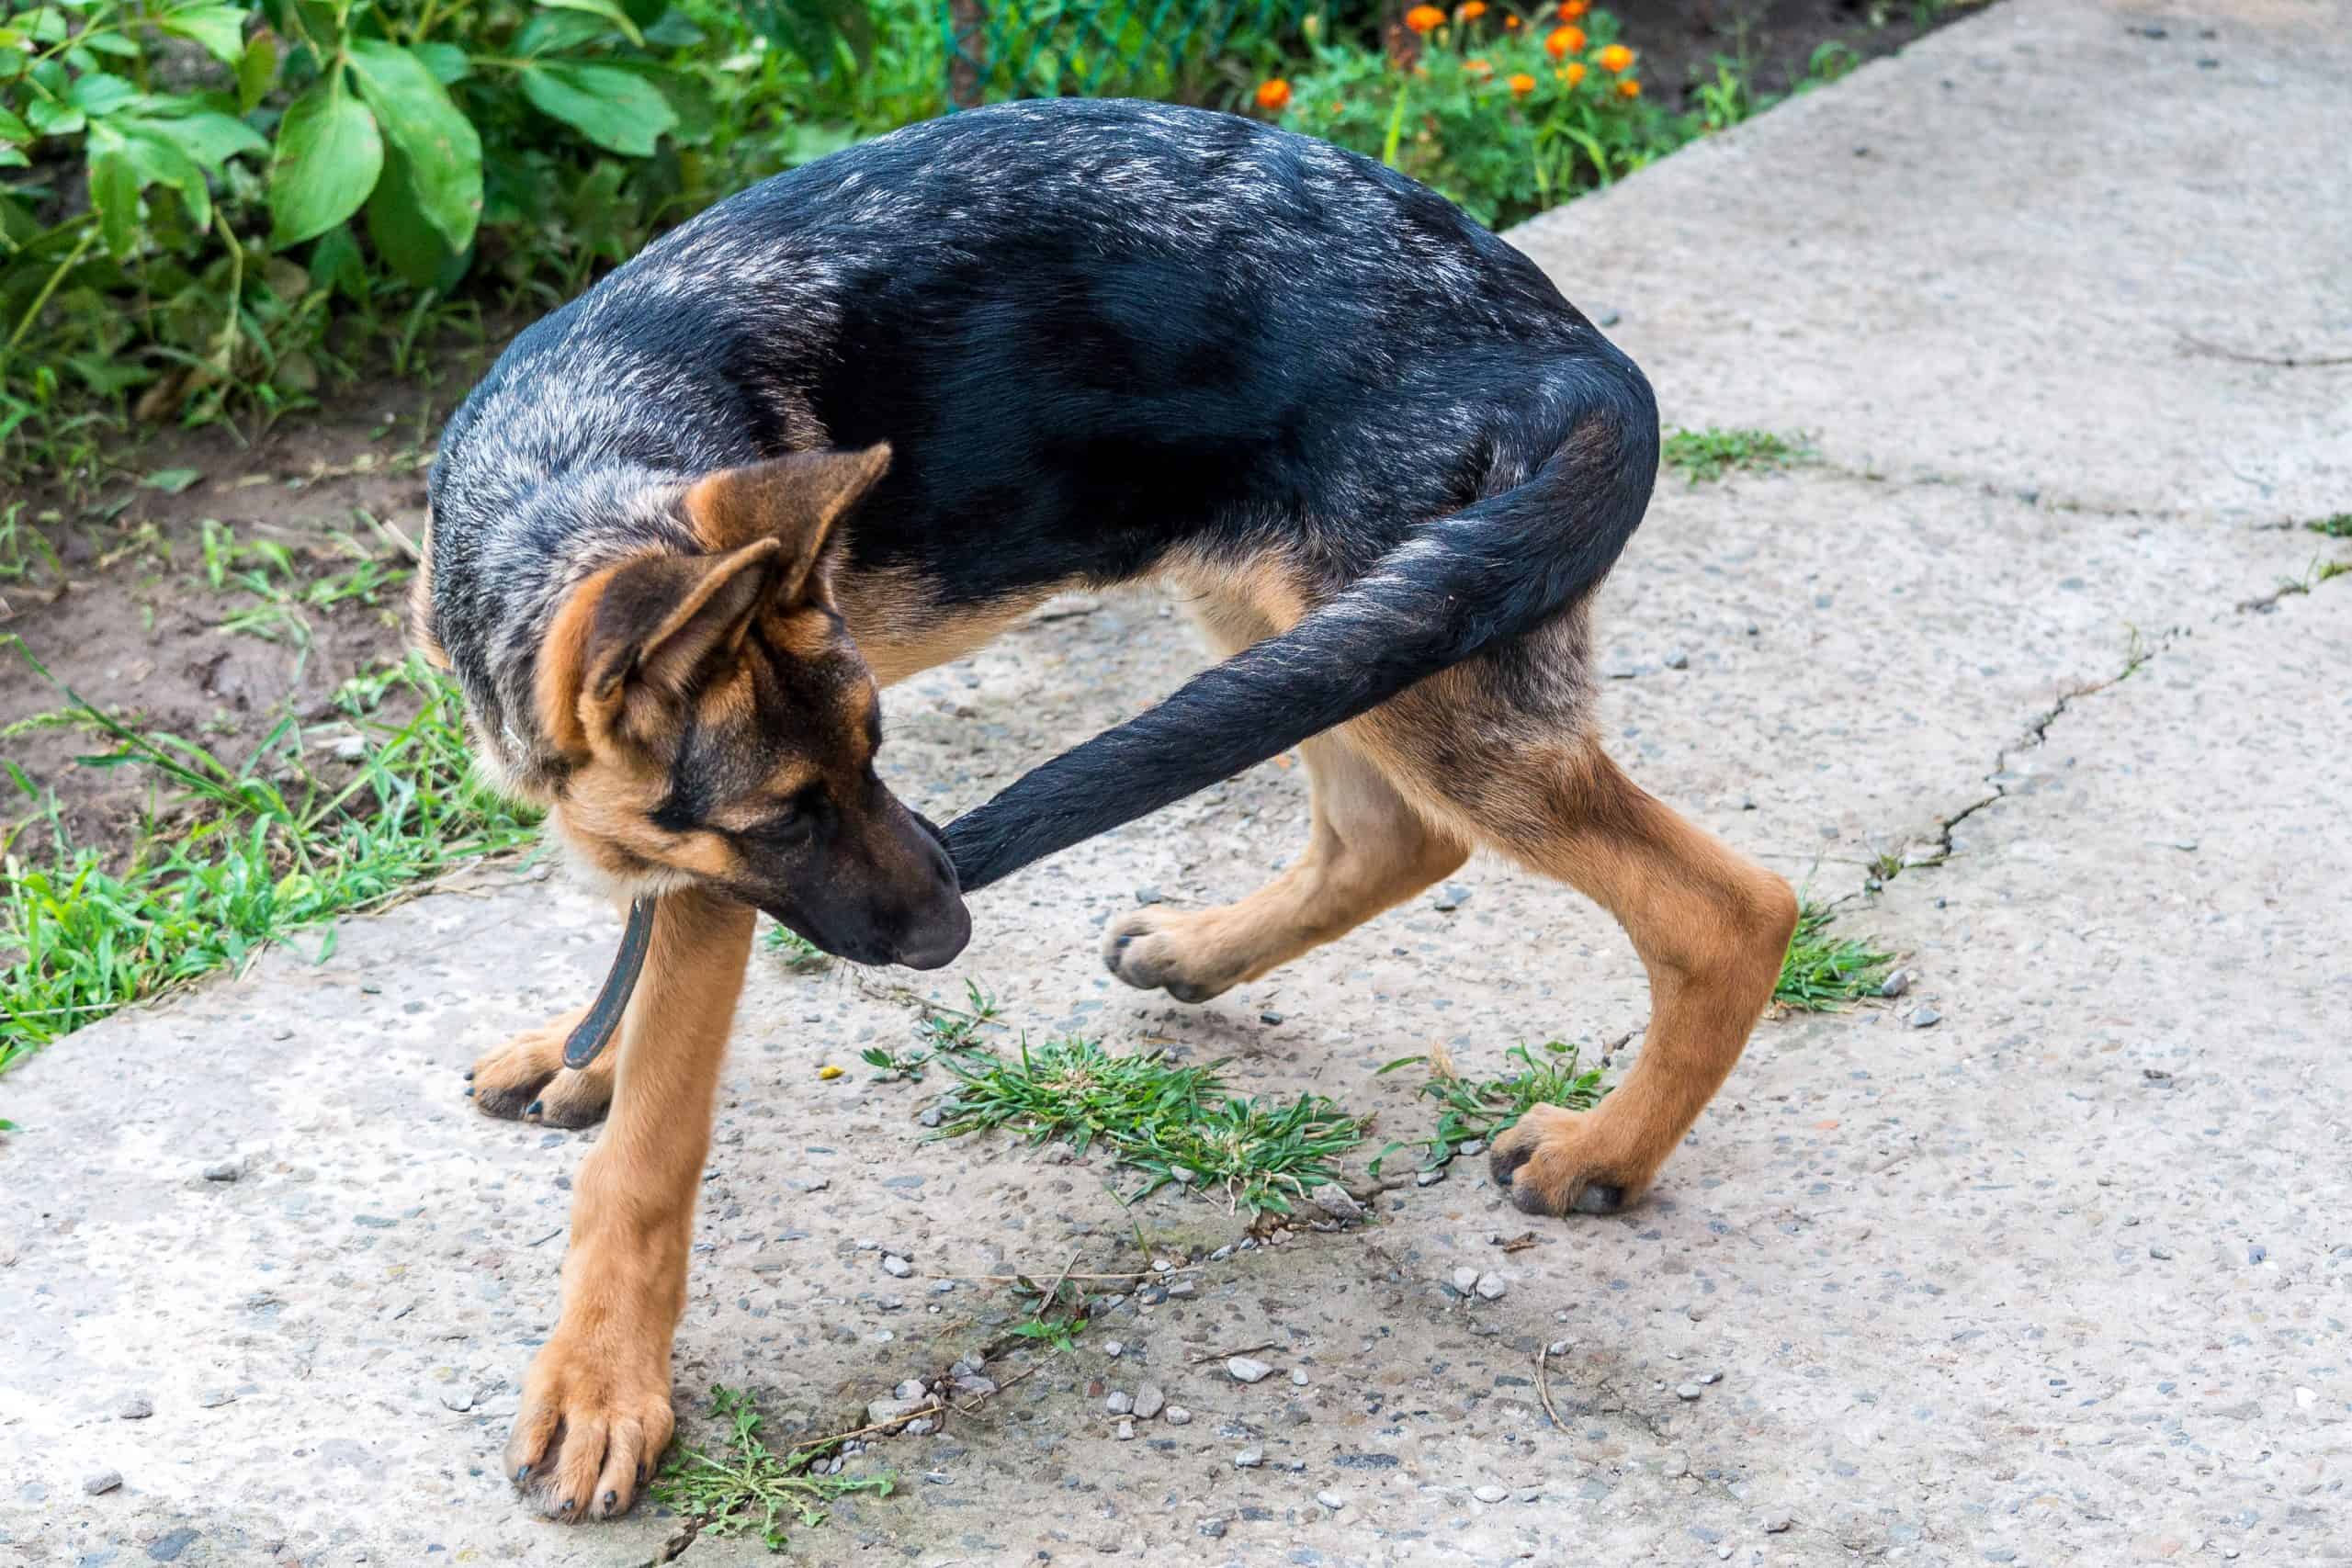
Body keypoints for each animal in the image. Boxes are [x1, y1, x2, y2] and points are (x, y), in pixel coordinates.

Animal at [418, 97, 1778, 1523]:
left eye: (877, 751)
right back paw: (1201, 952)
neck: (570, 467)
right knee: (1393, 833)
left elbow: (649, 1152)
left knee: (1727, 908)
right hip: (1323, 628)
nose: (955, 932)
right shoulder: (691, 852)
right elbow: (632, 974)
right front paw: (584, 1054)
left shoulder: (708, 889)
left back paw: (1606, 1151)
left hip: (1417, 652)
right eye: (790, 814)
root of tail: (1578, 360)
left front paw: (600, 1387)